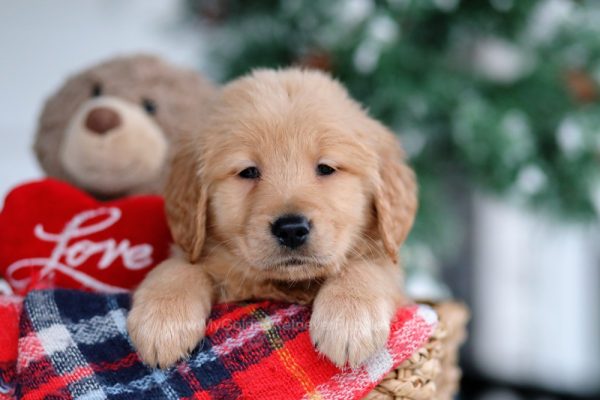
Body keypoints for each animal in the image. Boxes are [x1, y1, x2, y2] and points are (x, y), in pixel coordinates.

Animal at [127, 68, 418, 368]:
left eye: (326, 168)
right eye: (248, 171)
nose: (291, 229)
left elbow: (369, 267)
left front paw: (348, 318)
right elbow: (179, 266)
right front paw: (162, 320)